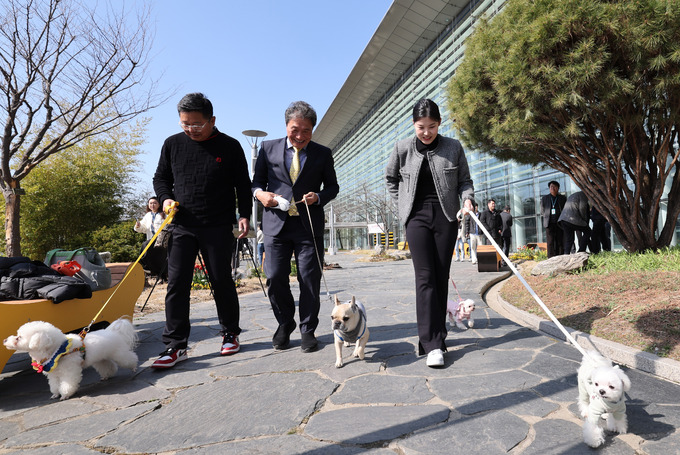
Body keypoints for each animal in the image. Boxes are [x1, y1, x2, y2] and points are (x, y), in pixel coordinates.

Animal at [2, 318, 138, 400]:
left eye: (19, 337)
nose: (4, 340)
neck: (57, 351)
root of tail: (114, 332)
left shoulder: (69, 372)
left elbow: (68, 384)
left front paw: (65, 395)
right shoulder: (54, 374)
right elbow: (55, 385)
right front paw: (55, 394)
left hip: (120, 354)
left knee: (131, 359)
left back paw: (134, 368)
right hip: (101, 359)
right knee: (108, 366)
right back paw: (106, 376)